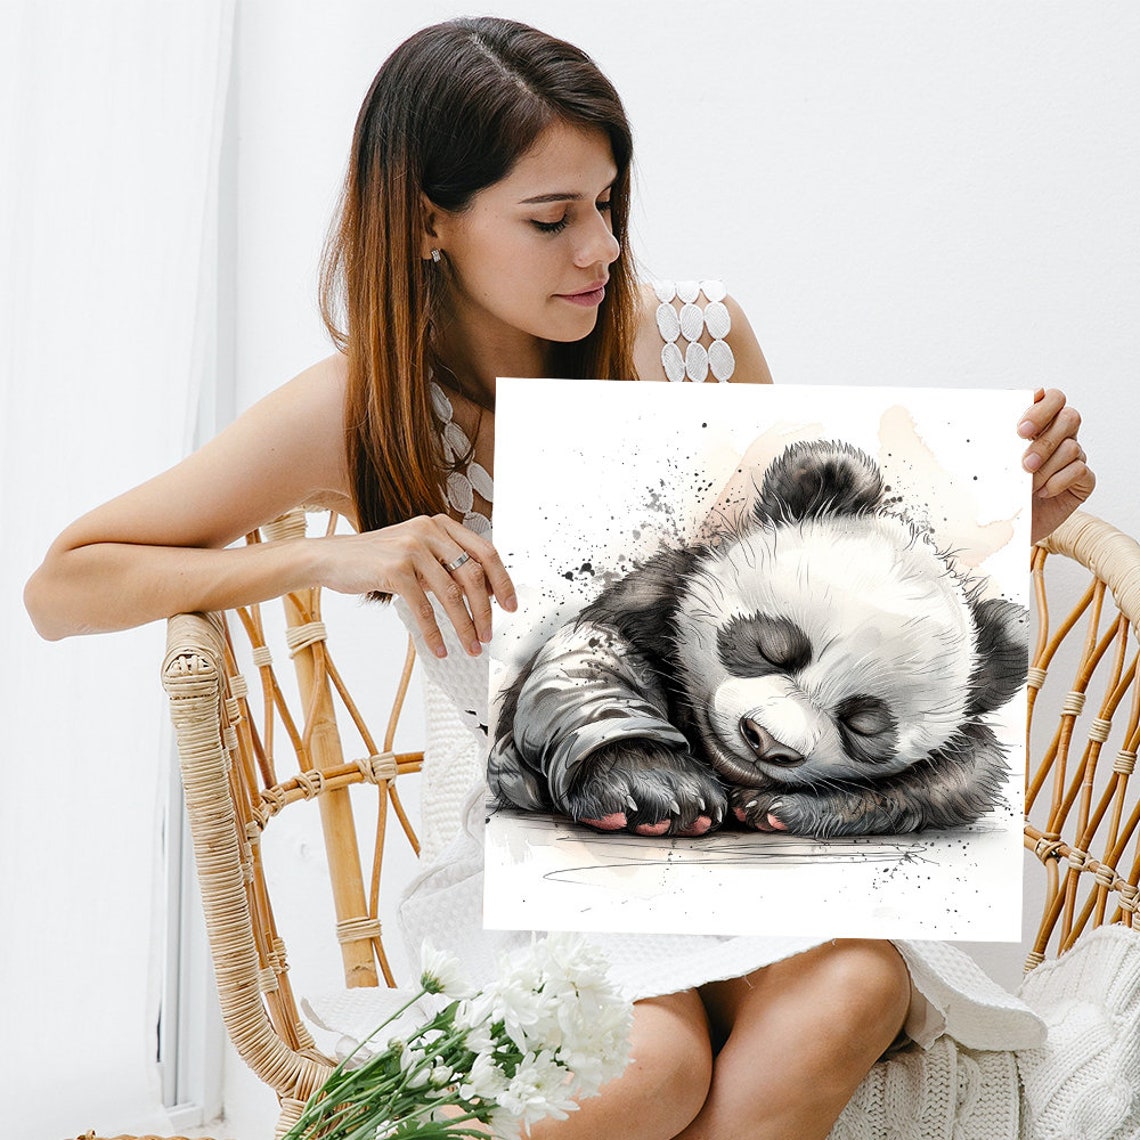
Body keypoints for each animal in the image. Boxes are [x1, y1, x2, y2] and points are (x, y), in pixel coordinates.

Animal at [487, 440, 1028, 839]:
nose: (768, 741)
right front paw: (659, 789)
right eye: (771, 649)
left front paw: (782, 807)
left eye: (864, 726)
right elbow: (588, 658)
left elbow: (966, 772)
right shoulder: (653, 601)